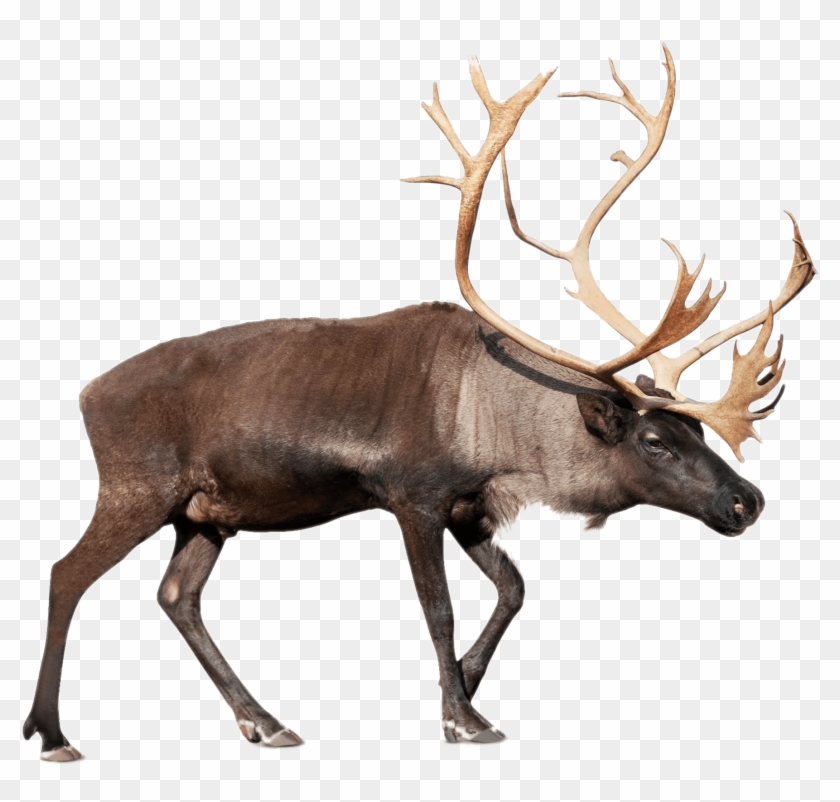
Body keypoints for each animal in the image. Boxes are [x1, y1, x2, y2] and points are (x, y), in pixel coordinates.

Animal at [23, 45, 815, 760]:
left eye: (700, 435)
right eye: (654, 441)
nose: (747, 501)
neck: (502, 431)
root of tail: (85, 393)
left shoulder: (470, 508)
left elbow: (514, 588)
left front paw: (465, 685)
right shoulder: (414, 496)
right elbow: (440, 608)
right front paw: (461, 717)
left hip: (208, 514)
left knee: (176, 596)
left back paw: (266, 722)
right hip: (138, 487)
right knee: (67, 573)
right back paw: (53, 733)